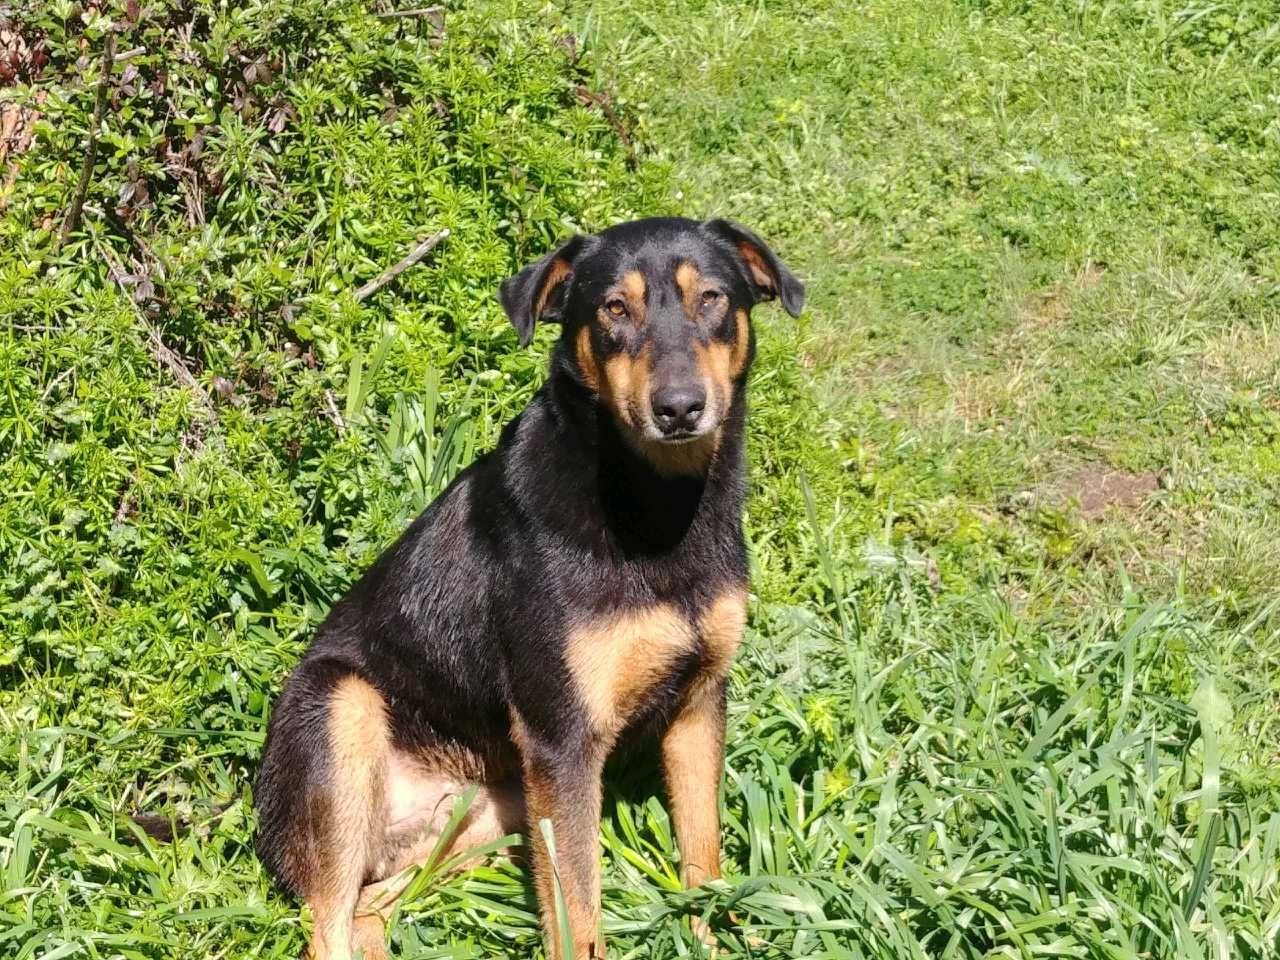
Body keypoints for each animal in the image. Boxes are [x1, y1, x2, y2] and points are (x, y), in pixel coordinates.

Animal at [254, 217, 803, 960]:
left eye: (713, 298)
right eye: (614, 309)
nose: (680, 408)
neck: (655, 507)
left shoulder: (698, 703)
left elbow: (704, 860)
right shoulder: (564, 739)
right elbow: (580, 916)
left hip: (490, 812)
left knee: (369, 910)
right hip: (344, 716)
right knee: (328, 923)